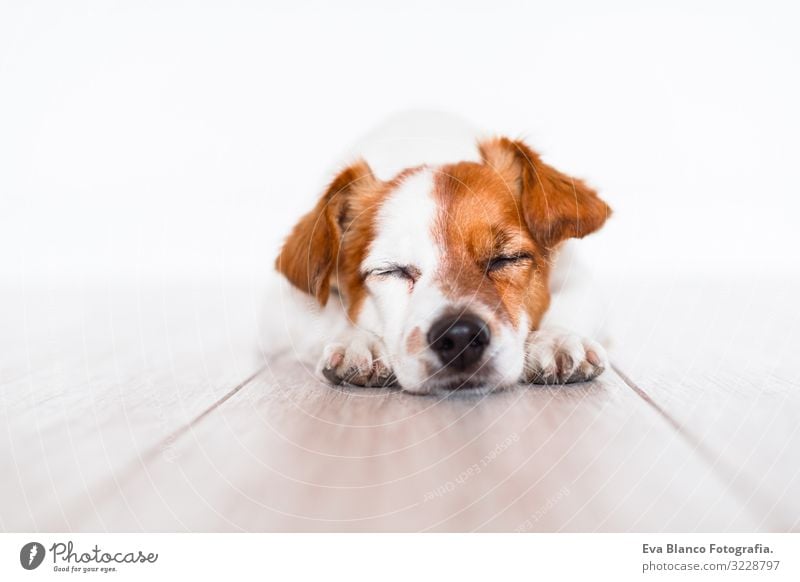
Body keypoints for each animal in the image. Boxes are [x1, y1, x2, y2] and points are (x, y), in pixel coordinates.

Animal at [264, 114, 612, 396]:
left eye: (506, 258)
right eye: (391, 270)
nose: (460, 336)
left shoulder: (576, 275)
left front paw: (555, 338)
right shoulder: (284, 310)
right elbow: (331, 316)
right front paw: (360, 342)